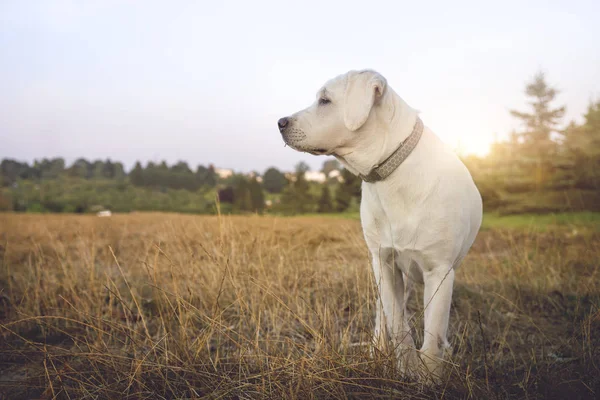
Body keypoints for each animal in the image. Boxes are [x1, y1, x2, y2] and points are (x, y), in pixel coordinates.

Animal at [278, 69, 482, 382]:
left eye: (325, 100)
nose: (280, 123)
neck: (390, 175)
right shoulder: (383, 262)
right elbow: (397, 323)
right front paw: (406, 368)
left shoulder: (439, 271)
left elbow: (433, 333)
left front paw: (430, 378)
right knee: (383, 313)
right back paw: (378, 348)